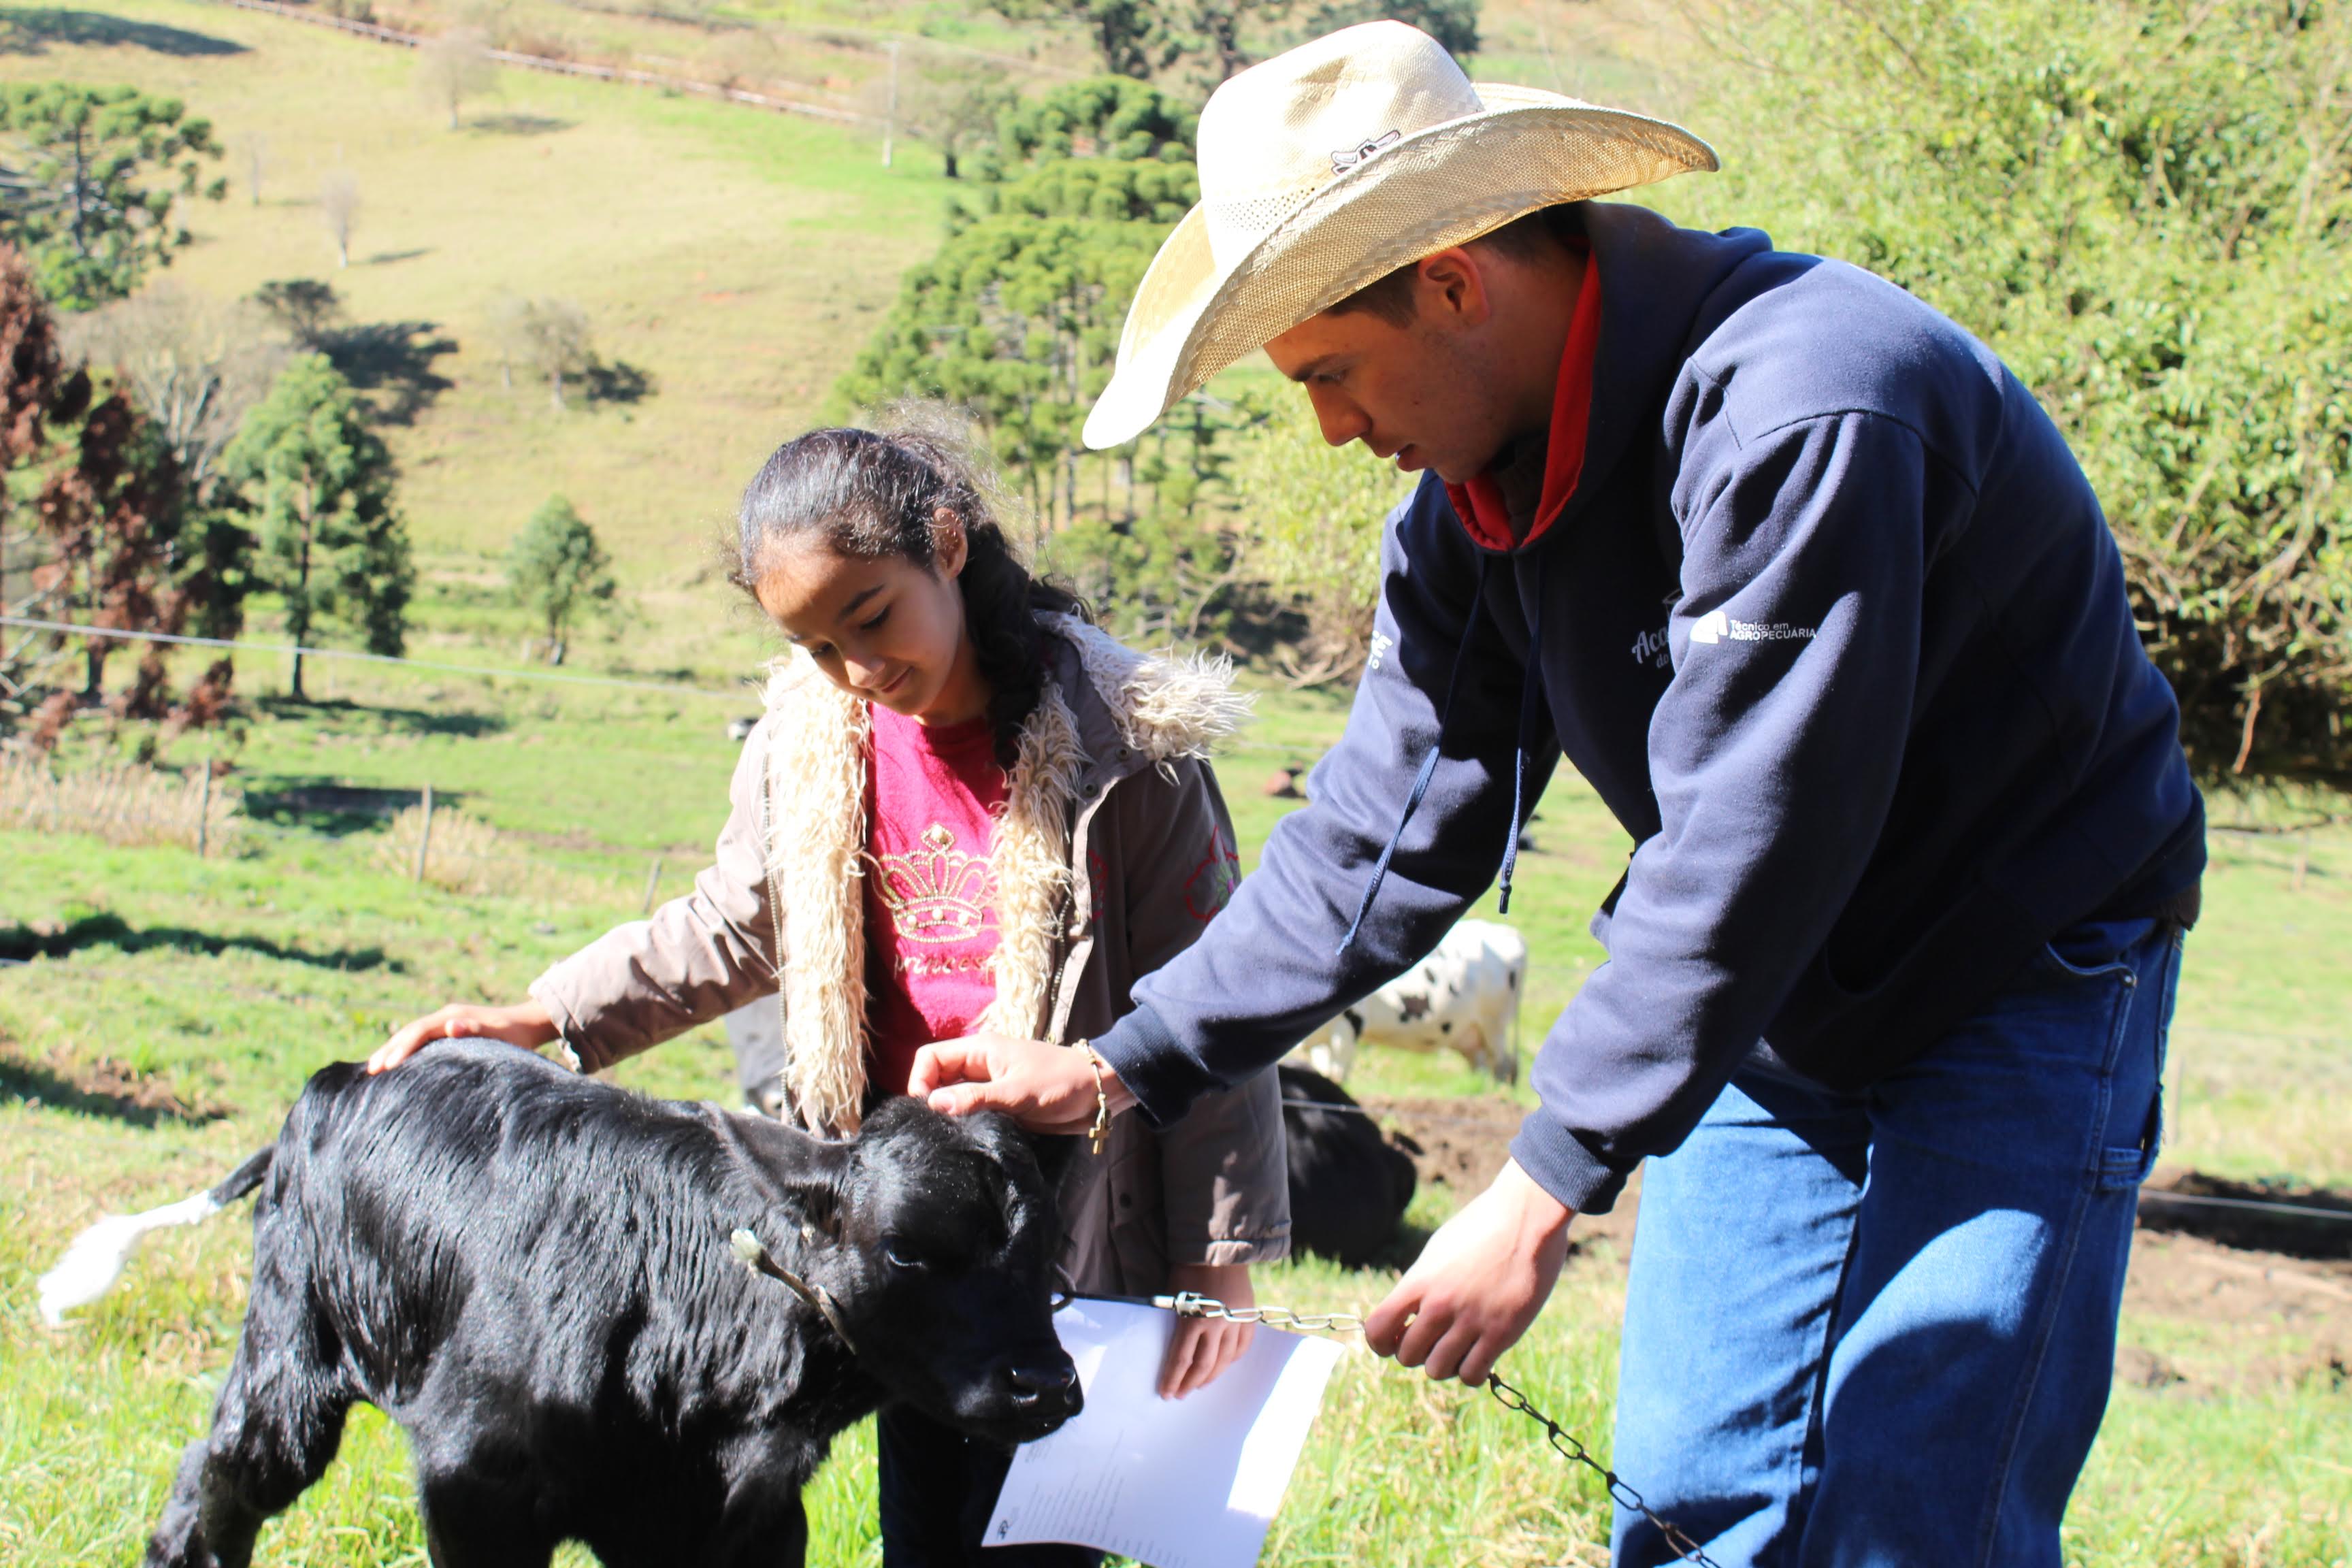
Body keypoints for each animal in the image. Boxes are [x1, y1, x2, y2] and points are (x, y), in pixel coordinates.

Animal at [112, 1043, 1081, 1568]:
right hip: (293, 1356)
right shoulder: (474, 1486)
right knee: (218, 1472)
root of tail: (341, 1077)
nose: (1047, 1385)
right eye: (905, 1245)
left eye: (1050, 1253)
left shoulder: (755, 1521)